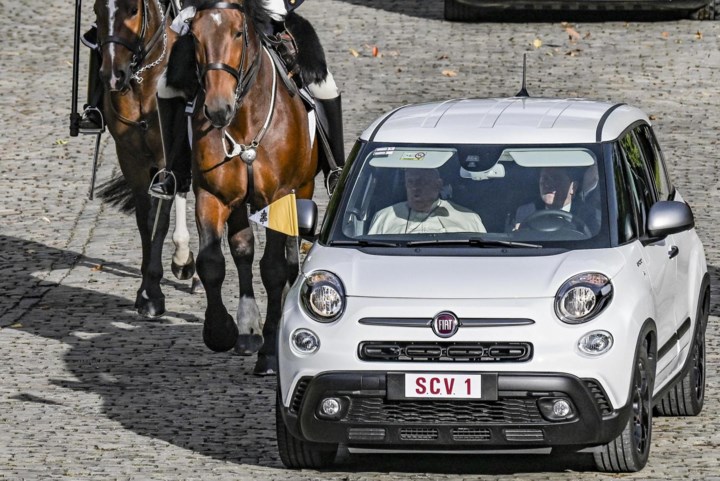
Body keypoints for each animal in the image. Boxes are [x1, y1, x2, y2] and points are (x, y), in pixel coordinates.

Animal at [94, 0, 198, 316]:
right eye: (96, 10)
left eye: (132, 10)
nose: (112, 75)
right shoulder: (131, 158)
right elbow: (146, 218)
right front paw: (146, 288)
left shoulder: (166, 156)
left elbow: (160, 220)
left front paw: (153, 295)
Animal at [187, 0, 320, 376]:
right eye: (195, 35)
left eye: (237, 32)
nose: (218, 109)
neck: (245, 121)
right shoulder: (212, 195)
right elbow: (211, 262)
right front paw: (221, 331)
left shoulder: (279, 198)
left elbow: (273, 270)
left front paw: (271, 353)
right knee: (242, 247)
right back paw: (247, 331)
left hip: (303, 189)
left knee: (284, 260)